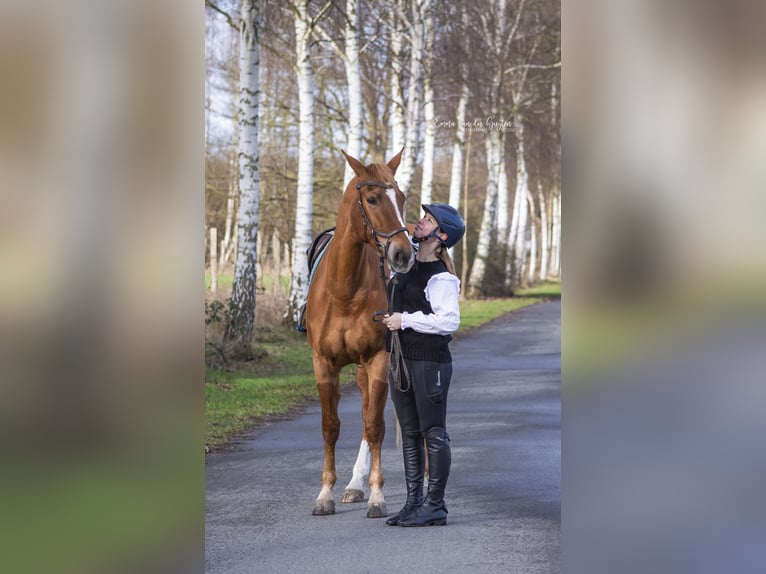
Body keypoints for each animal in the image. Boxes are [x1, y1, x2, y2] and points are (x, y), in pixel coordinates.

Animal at [304, 151, 414, 520]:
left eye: (402, 198)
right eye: (373, 198)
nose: (403, 254)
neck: (343, 290)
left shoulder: (378, 358)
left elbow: (375, 426)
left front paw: (377, 496)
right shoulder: (323, 363)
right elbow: (330, 426)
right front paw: (324, 494)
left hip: (372, 365)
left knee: (370, 418)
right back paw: (352, 485)